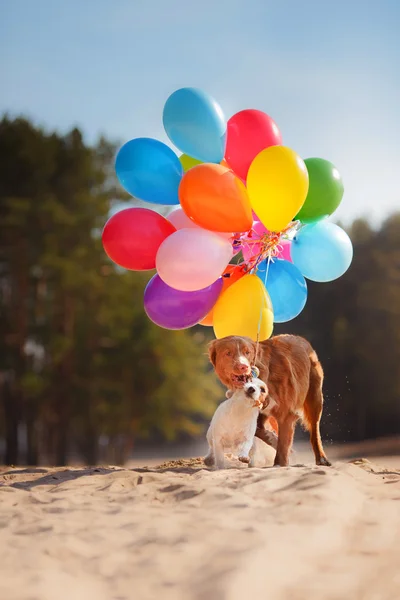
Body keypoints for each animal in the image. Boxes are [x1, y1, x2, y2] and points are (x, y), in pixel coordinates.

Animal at [209, 332, 332, 468]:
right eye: (228, 353)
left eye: (247, 352)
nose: (243, 367)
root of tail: (301, 338)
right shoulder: (256, 413)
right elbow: (260, 432)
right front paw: (273, 439)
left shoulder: (286, 414)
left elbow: (282, 448)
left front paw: (280, 462)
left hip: (315, 398)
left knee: (315, 431)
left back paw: (321, 458)